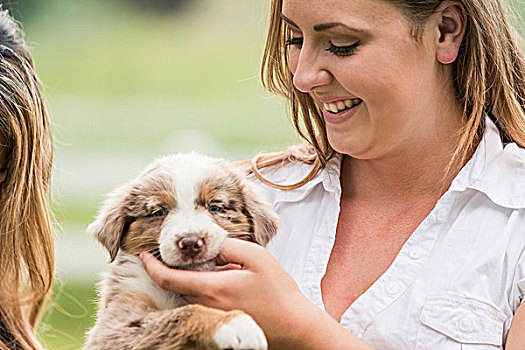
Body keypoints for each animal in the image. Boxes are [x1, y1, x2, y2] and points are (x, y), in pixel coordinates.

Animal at [82, 153, 278, 350]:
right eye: (159, 212)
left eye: (215, 207)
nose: (190, 243)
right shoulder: (114, 324)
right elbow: (181, 314)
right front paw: (235, 324)